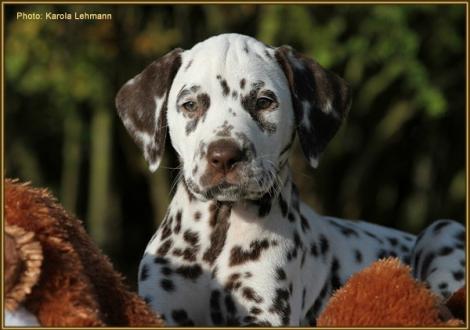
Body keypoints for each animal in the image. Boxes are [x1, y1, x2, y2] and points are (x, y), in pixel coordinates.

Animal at [115, 32, 464, 326]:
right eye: (190, 104)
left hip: (444, 230)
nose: (224, 156)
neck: (219, 231)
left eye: (264, 102)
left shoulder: (266, 313)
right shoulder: (161, 309)